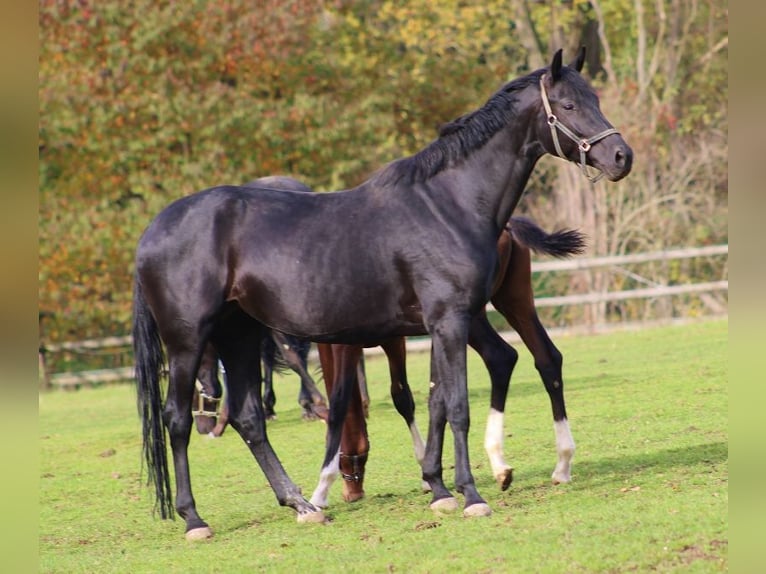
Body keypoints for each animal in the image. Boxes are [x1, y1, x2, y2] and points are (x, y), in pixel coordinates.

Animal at [134, 47, 636, 544]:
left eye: (593, 98)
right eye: (568, 105)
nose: (620, 156)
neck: (447, 204)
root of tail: (154, 231)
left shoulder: (441, 325)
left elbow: (436, 400)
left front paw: (441, 488)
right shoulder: (448, 321)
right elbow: (455, 406)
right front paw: (471, 496)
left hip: (238, 335)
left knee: (248, 419)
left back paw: (303, 506)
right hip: (188, 342)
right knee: (177, 419)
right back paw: (195, 519)